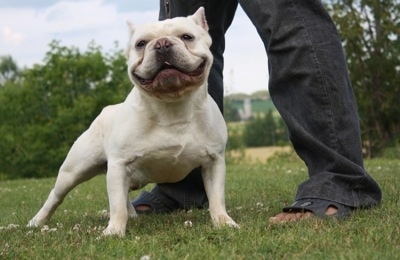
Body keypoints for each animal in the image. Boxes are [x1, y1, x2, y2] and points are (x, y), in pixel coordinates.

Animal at [27, 7, 238, 237]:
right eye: (141, 44)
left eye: (187, 37)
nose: (162, 44)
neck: (173, 105)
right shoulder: (120, 164)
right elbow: (116, 205)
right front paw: (114, 232)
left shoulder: (213, 162)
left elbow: (216, 198)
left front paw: (223, 222)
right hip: (74, 171)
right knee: (56, 196)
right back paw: (37, 221)